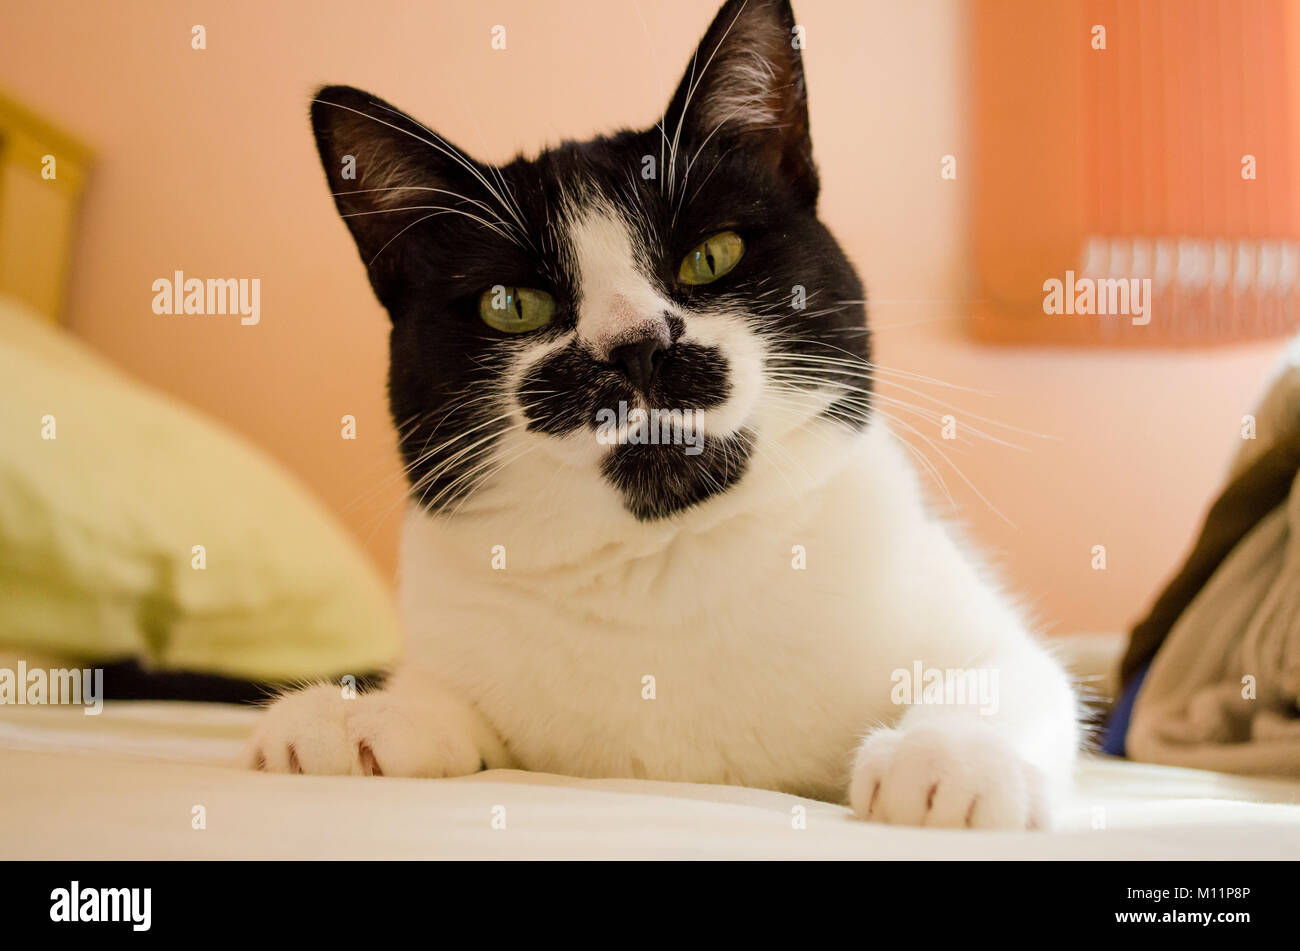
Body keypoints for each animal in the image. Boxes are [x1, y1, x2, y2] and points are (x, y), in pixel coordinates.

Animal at [250, 0, 1076, 826]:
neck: (664, 565)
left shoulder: (976, 628)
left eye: (712, 256)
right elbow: (455, 706)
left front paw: (949, 758)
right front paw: (359, 715)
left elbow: (1012, 674)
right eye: (512, 305)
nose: (637, 346)